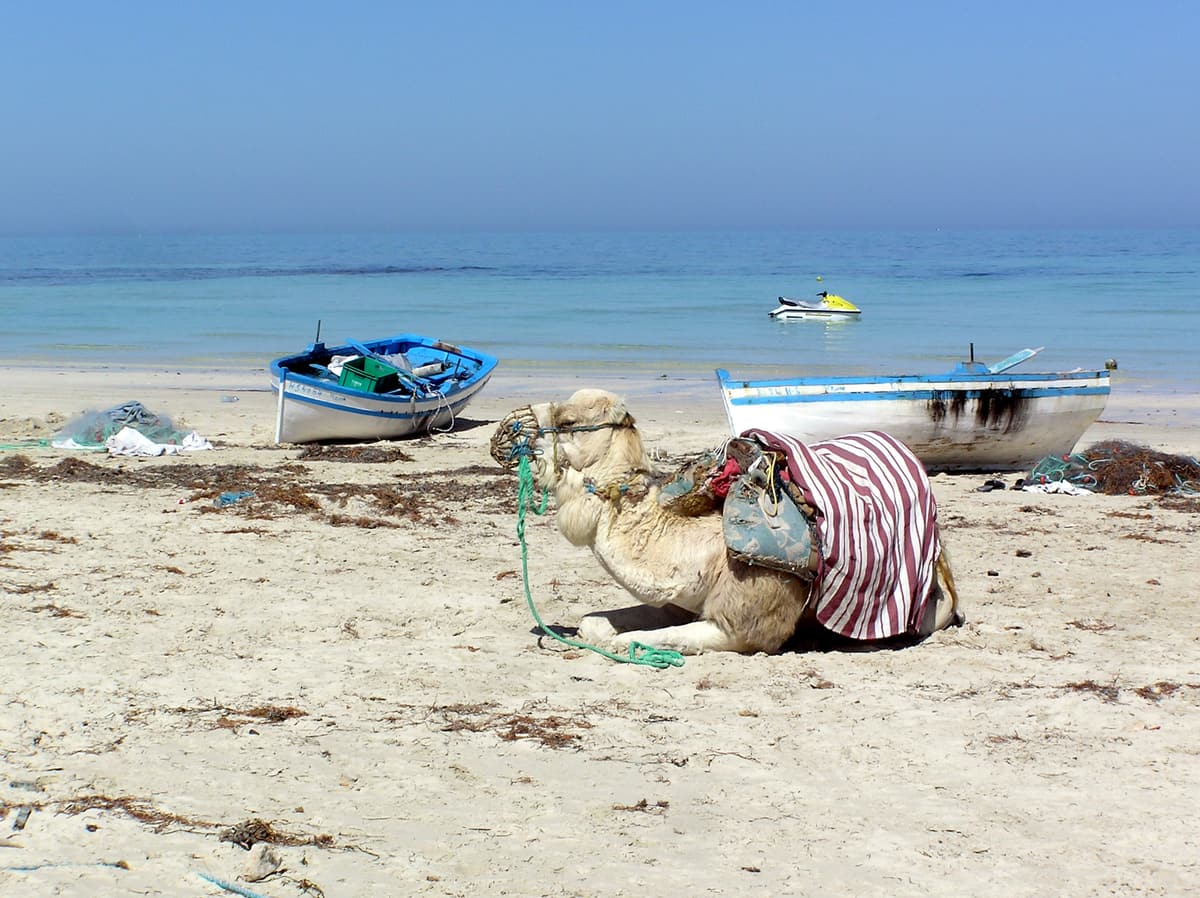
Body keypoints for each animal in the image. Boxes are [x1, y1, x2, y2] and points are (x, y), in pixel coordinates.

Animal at [490, 389, 962, 655]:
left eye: (568, 421)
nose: (506, 429)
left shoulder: (741, 625)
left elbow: (638, 640)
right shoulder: (676, 599)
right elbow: (596, 624)